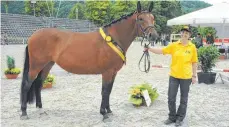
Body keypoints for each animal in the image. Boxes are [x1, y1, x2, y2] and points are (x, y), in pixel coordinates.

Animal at [20, 1, 157, 120]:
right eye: (141, 19)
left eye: (153, 18)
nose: (154, 36)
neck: (113, 38)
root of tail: (32, 36)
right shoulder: (107, 72)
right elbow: (105, 91)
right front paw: (104, 114)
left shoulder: (113, 73)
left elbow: (109, 91)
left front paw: (109, 111)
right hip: (36, 66)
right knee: (27, 85)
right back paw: (24, 113)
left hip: (47, 65)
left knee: (38, 84)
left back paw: (40, 109)